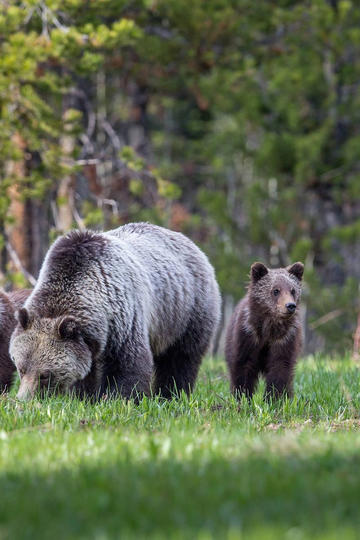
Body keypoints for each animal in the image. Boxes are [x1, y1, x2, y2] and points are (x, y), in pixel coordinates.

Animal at [10, 220, 219, 400]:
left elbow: (128, 364)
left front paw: (118, 398)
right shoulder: (88, 340)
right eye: (21, 368)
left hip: (186, 310)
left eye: (45, 374)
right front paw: (84, 397)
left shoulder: (123, 317)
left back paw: (171, 394)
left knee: (181, 358)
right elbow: (86, 371)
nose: (23, 399)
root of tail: (190, 244)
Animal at [225, 262, 304, 400]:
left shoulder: (284, 338)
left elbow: (280, 368)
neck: (269, 329)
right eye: (276, 290)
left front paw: (274, 398)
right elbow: (243, 366)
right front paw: (243, 397)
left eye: (293, 290)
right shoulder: (248, 334)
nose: (290, 306)